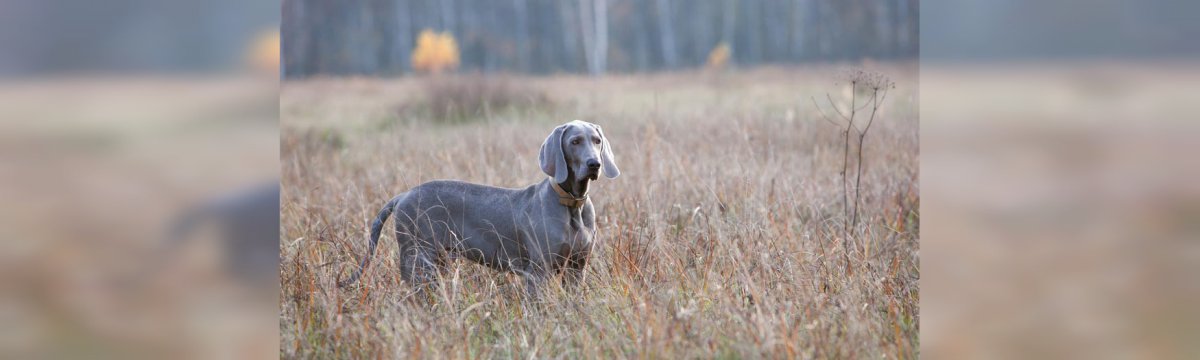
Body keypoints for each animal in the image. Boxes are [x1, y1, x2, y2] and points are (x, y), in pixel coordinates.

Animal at [338, 119, 619, 296]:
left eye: (596, 140)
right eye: (575, 142)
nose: (594, 164)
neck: (572, 204)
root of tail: (403, 195)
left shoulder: (577, 268)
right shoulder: (538, 272)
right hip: (418, 259)